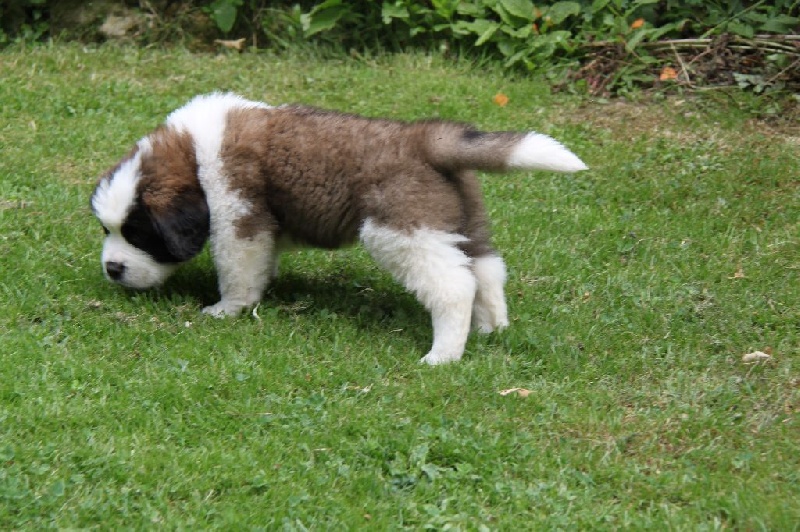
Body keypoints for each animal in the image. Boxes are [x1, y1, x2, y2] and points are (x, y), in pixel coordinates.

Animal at [91, 93, 587, 364]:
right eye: (107, 231)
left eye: (138, 234)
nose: (112, 269)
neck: (192, 155)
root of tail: (421, 138)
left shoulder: (238, 216)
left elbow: (237, 268)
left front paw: (227, 309)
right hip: (464, 221)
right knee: (486, 270)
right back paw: (490, 329)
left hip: (400, 229)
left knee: (453, 286)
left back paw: (443, 354)